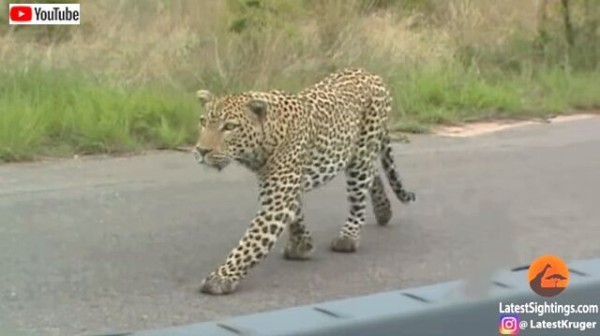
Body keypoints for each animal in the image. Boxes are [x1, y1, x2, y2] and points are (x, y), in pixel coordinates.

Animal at [195, 67, 414, 294]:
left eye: (229, 126)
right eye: (203, 122)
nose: (201, 151)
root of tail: (370, 73)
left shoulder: (277, 200)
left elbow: (250, 242)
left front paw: (221, 277)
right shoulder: (286, 186)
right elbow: (296, 213)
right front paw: (302, 245)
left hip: (361, 153)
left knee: (359, 195)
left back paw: (348, 238)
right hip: (358, 153)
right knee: (373, 173)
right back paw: (383, 210)